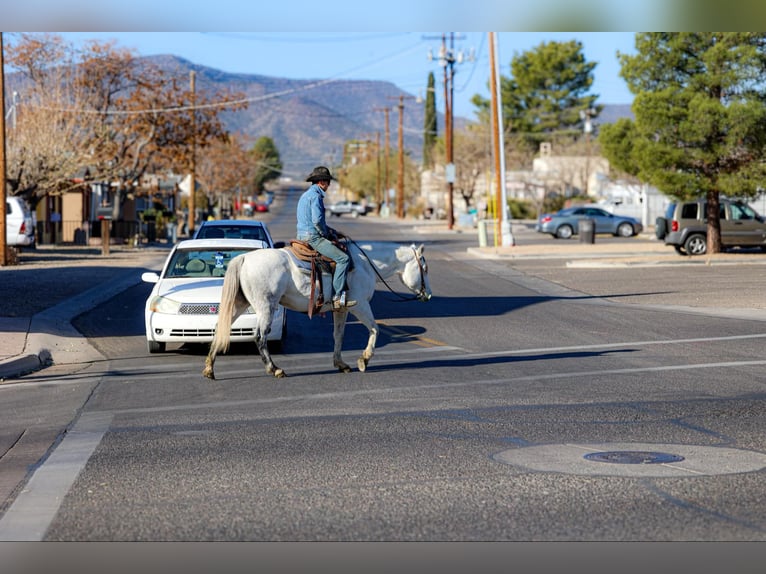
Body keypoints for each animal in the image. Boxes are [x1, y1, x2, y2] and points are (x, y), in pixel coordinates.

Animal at [202, 241, 432, 379]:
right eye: (425, 268)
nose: (428, 294)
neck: (365, 264)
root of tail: (244, 258)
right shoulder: (361, 305)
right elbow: (374, 329)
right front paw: (364, 360)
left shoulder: (341, 309)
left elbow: (338, 335)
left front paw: (341, 363)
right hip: (266, 307)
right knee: (259, 336)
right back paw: (274, 369)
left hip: (240, 304)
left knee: (219, 328)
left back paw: (209, 368)